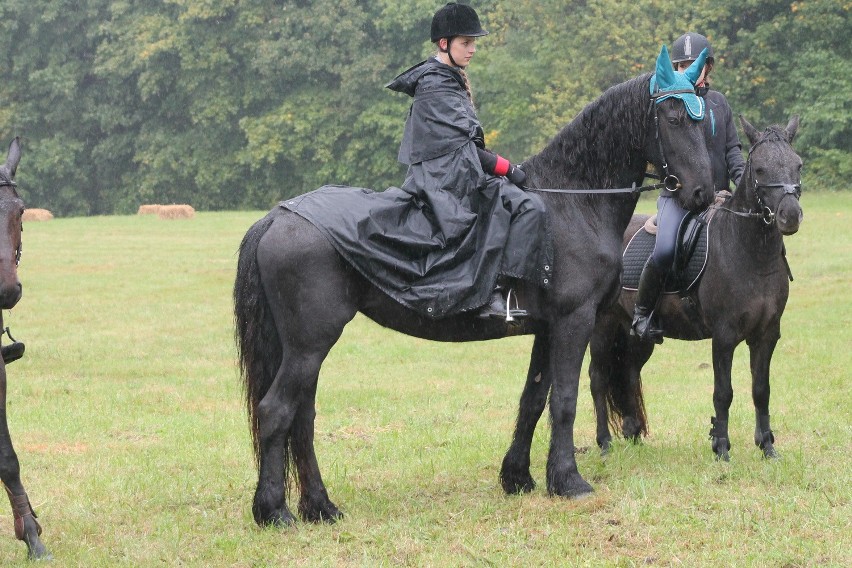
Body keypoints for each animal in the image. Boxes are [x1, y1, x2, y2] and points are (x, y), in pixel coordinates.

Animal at [236, 72, 716, 528]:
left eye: (701, 119)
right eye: (674, 118)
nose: (702, 194)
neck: (571, 204)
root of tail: (278, 216)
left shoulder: (546, 329)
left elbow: (533, 399)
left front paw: (518, 477)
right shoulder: (573, 322)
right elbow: (563, 400)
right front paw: (568, 481)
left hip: (307, 349)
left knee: (302, 420)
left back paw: (319, 507)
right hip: (310, 345)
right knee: (277, 411)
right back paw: (274, 511)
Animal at [584, 115, 804, 462]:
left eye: (798, 165)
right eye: (760, 170)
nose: (790, 216)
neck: (749, 253)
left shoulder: (767, 334)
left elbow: (761, 390)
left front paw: (768, 447)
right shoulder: (724, 336)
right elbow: (723, 392)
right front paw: (722, 448)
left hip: (635, 334)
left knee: (630, 372)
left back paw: (634, 434)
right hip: (603, 327)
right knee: (598, 378)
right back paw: (604, 443)